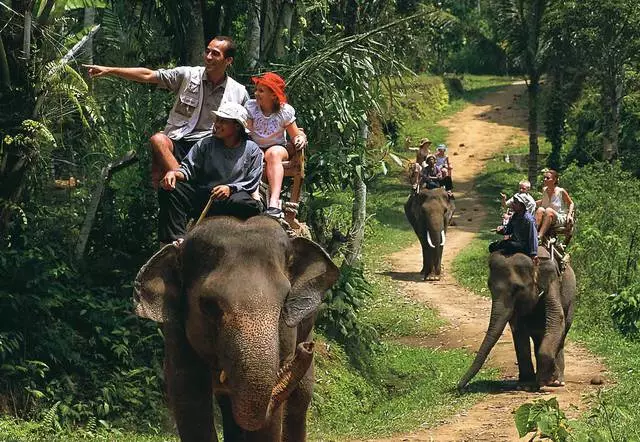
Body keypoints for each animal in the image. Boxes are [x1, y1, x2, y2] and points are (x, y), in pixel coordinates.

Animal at [131, 216, 340, 440]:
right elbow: (189, 393)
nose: (307, 348)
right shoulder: (176, 330)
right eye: (209, 305)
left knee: (300, 399)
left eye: (285, 300)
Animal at [460, 250, 576, 388]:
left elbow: (556, 318)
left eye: (517, 288)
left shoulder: (552, 281)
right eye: (489, 287)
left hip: (571, 302)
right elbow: (518, 328)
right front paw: (526, 384)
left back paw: (558, 381)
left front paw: (546, 380)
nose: (460, 387)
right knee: (538, 336)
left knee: (561, 332)